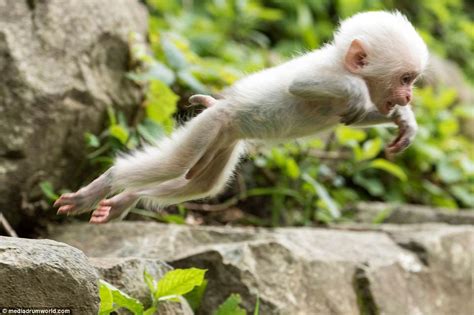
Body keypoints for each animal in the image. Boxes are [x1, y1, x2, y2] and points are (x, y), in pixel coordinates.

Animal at [55, 11, 430, 225]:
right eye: (405, 78)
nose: (409, 96)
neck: (345, 66)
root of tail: (220, 109)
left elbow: (364, 114)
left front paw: (404, 120)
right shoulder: (326, 71)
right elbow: (301, 84)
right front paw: (360, 94)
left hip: (223, 141)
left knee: (200, 184)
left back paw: (126, 199)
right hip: (212, 125)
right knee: (175, 165)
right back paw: (103, 185)